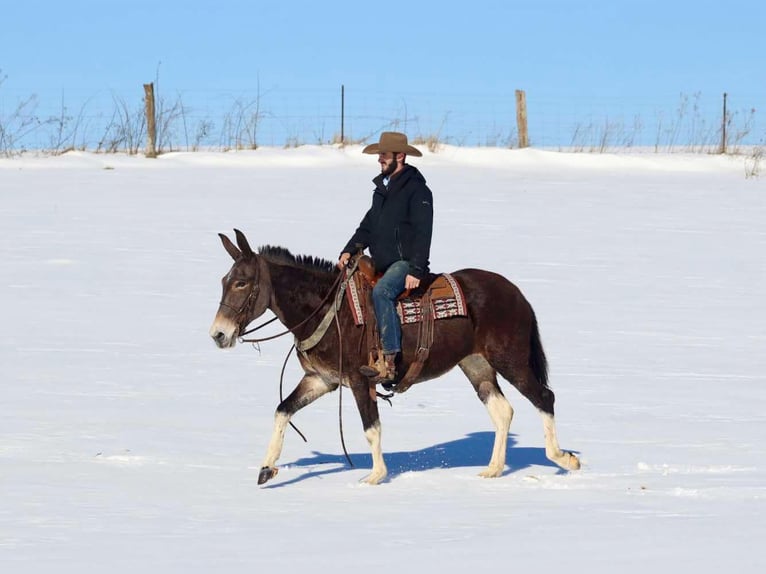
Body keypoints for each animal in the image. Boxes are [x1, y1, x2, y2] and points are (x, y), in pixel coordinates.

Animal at [209, 229, 580, 485]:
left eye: (242, 283)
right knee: (503, 411)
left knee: (544, 397)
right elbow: (282, 410)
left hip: (511, 359)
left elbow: (371, 427)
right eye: (225, 280)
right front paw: (266, 468)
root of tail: (516, 293)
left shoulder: (360, 380)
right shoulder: (321, 380)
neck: (328, 310)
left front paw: (374, 476)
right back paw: (492, 469)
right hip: (476, 364)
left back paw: (564, 459)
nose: (218, 334)